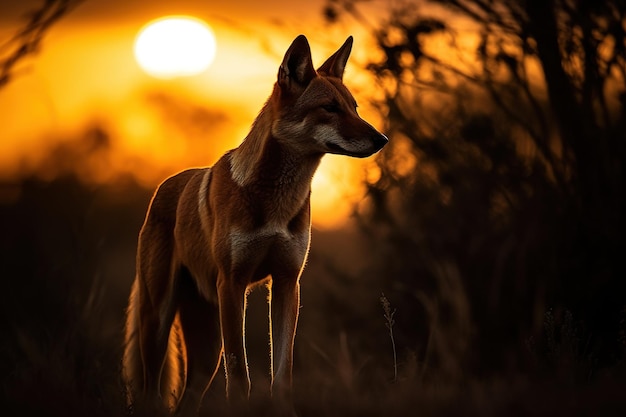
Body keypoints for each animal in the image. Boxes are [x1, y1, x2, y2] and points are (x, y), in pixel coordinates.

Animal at [121, 34, 386, 412]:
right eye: (330, 108)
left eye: (354, 108)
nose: (382, 139)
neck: (276, 202)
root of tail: (163, 188)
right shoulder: (233, 284)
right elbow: (240, 378)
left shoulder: (288, 283)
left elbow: (282, 374)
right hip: (159, 322)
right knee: (150, 393)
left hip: (206, 347)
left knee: (187, 399)